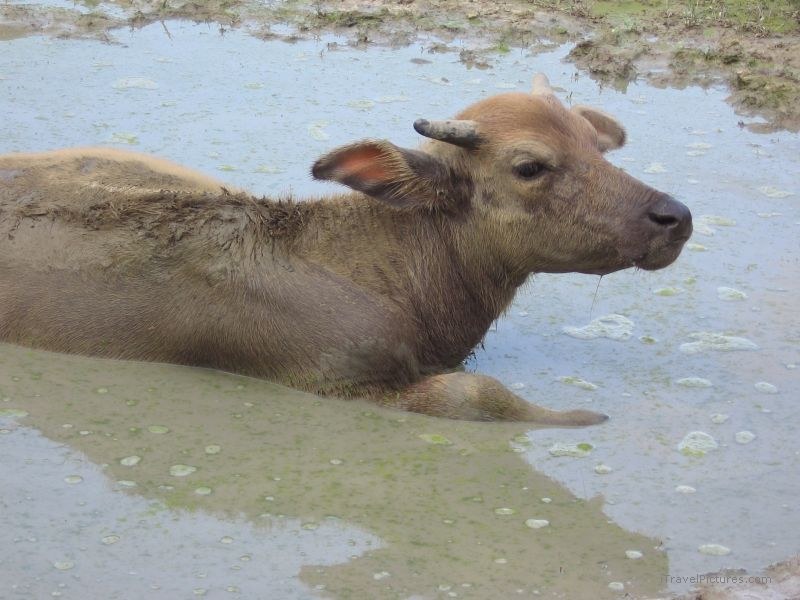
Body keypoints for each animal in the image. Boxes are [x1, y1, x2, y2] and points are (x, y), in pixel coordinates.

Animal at [0, 74, 691, 426]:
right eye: (530, 166)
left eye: (596, 147)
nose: (675, 217)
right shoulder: (333, 380)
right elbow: (477, 394)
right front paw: (580, 417)